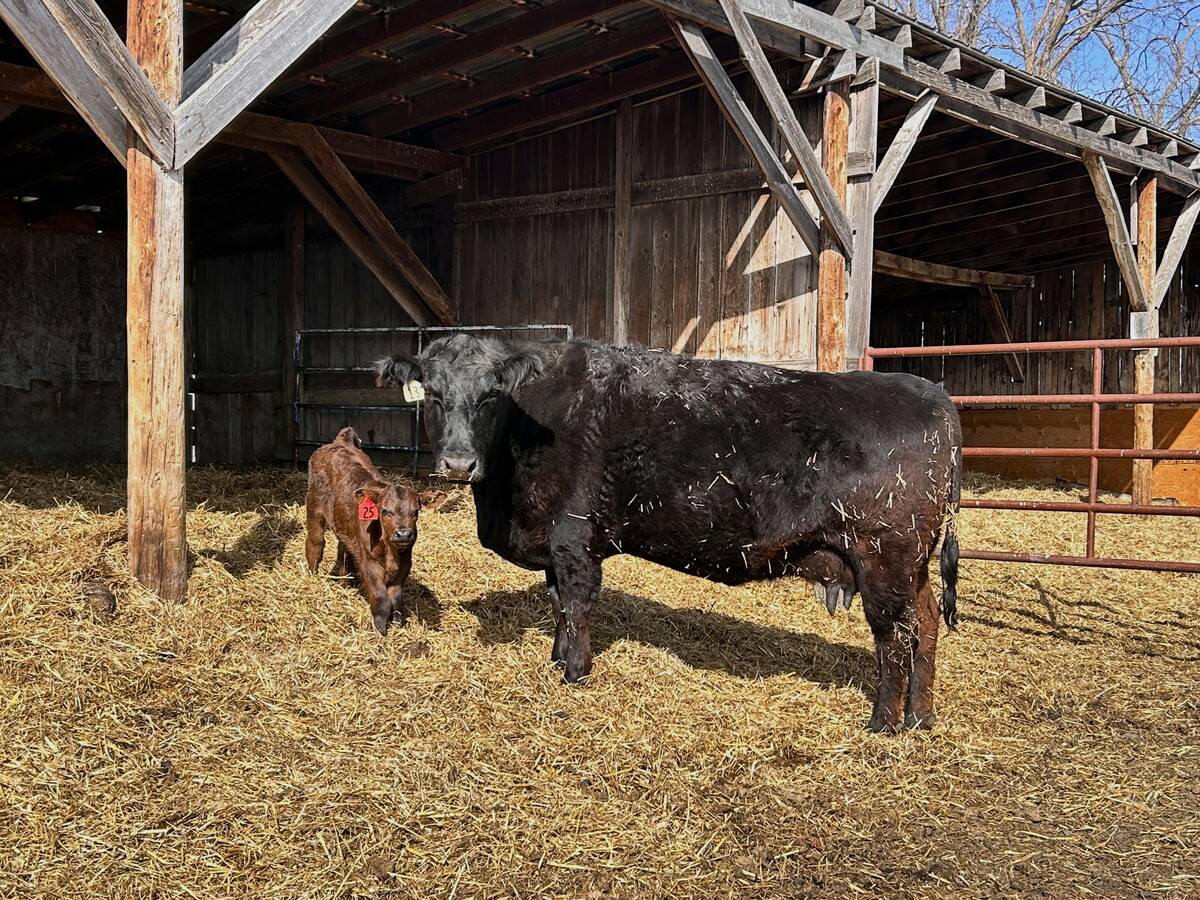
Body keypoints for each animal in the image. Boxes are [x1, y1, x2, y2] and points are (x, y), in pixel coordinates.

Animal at [305, 426, 421, 635]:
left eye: (415, 511)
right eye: (384, 511)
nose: (404, 534)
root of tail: (339, 442)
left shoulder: (406, 561)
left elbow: (396, 596)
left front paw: (397, 625)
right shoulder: (370, 561)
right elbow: (381, 598)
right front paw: (380, 630)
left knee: (343, 550)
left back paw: (344, 580)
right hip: (314, 507)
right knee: (315, 543)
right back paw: (313, 576)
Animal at [375, 335, 961, 732]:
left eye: (490, 397)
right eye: (432, 394)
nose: (457, 462)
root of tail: (932, 393)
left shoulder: (573, 538)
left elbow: (578, 604)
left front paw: (575, 671)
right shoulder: (556, 549)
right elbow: (559, 603)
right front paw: (557, 658)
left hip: (883, 556)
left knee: (895, 637)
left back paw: (884, 723)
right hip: (911, 565)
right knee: (928, 624)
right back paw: (920, 717)